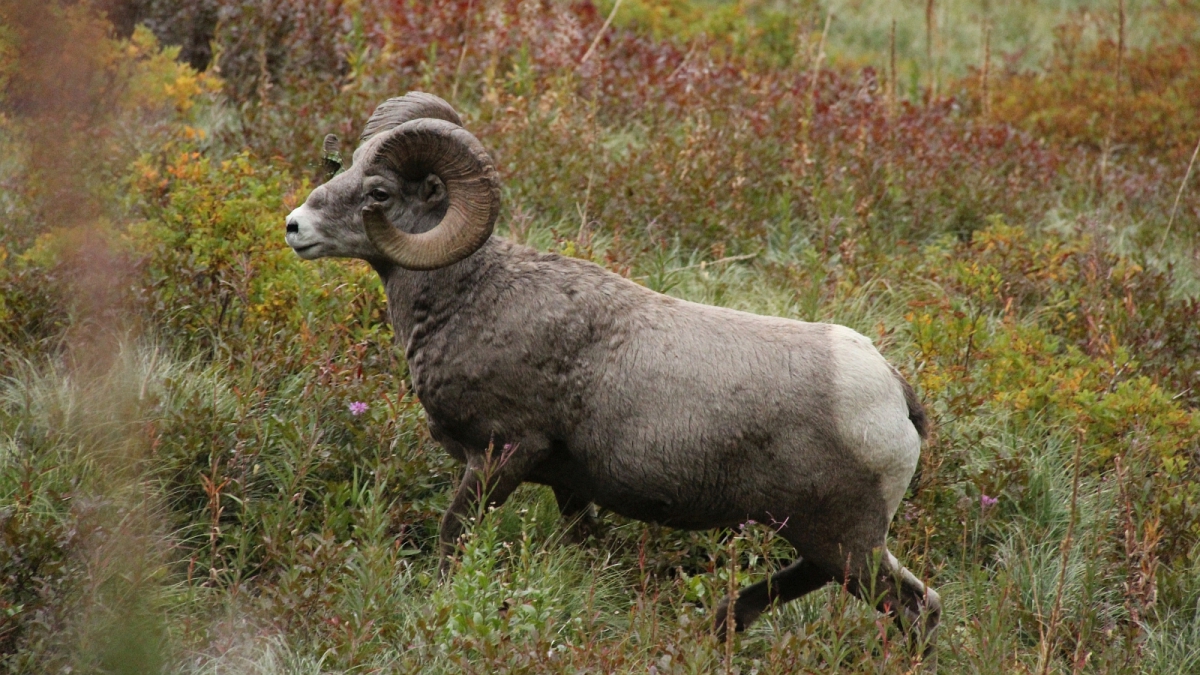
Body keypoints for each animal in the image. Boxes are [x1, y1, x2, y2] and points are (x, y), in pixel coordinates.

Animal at [285, 93, 940, 653]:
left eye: (378, 191)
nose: (295, 226)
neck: (470, 299)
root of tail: (892, 394)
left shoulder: (500, 455)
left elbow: (453, 540)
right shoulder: (570, 485)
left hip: (841, 543)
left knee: (910, 606)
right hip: (829, 541)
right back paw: (721, 627)